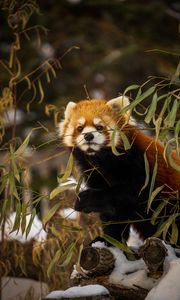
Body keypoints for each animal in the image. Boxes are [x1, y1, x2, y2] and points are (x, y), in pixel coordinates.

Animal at [59, 98, 180, 246]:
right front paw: (109, 239)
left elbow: (131, 194)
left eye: (99, 127)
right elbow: (115, 215)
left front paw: (87, 199)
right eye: (80, 128)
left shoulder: (141, 166)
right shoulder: (95, 174)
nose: (88, 136)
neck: (102, 159)